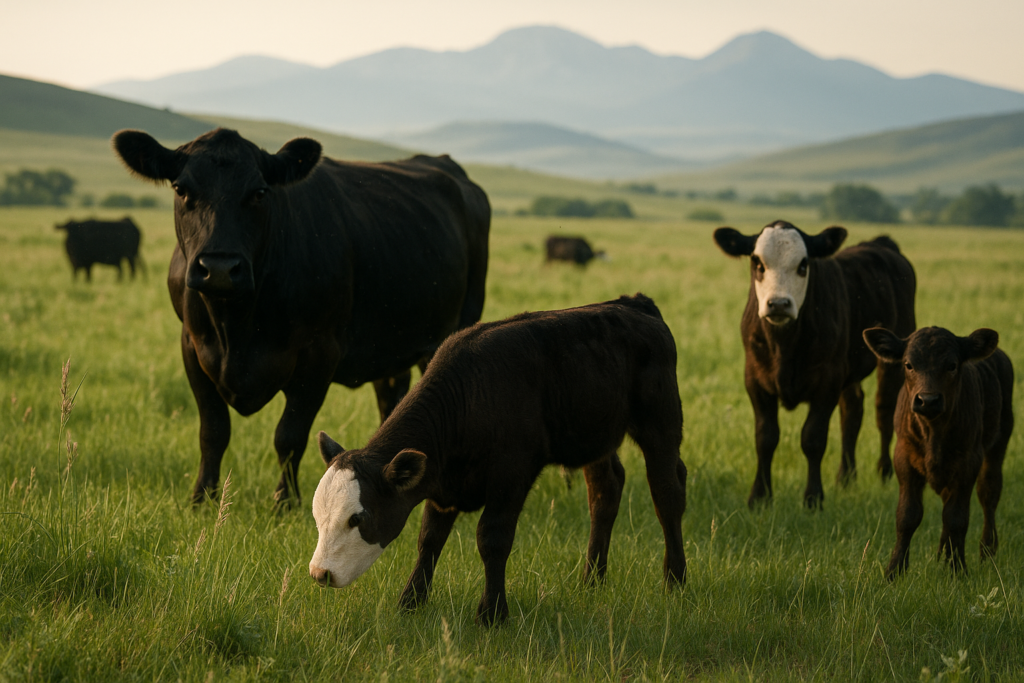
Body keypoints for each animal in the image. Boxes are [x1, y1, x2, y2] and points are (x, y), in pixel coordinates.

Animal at [112, 127, 490, 507]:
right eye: (181, 189)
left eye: (260, 192)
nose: (219, 269)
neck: (236, 325)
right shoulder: (192, 346)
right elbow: (213, 431)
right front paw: (202, 499)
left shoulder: (319, 352)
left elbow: (289, 436)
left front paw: (284, 502)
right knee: (391, 401)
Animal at [308, 294, 687, 625]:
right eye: (317, 516)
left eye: (358, 518)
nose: (319, 573)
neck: (468, 399)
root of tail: (634, 304)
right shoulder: (442, 486)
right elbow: (429, 538)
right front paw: (410, 602)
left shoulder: (511, 476)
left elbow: (492, 538)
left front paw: (491, 614)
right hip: (595, 436)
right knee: (605, 493)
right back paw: (592, 580)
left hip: (661, 424)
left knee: (667, 494)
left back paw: (675, 581)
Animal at [713, 220, 916, 509]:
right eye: (757, 262)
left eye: (803, 264)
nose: (778, 303)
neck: (784, 345)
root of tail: (881, 243)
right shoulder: (755, 381)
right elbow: (765, 438)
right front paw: (760, 497)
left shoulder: (827, 383)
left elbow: (813, 439)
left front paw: (813, 499)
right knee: (852, 410)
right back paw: (846, 477)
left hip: (893, 356)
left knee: (884, 411)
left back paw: (884, 472)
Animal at [863, 326, 1014, 578]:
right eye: (908, 364)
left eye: (952, 365)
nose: (928, 400)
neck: (933, 432)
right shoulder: (903, 458)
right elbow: (907, 515)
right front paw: (894, 571)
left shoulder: (968, 463)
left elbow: (957, 518)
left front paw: (958, 570)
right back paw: (942, 554)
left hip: (998, 444)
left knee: (989, 495)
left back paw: (987, 551)